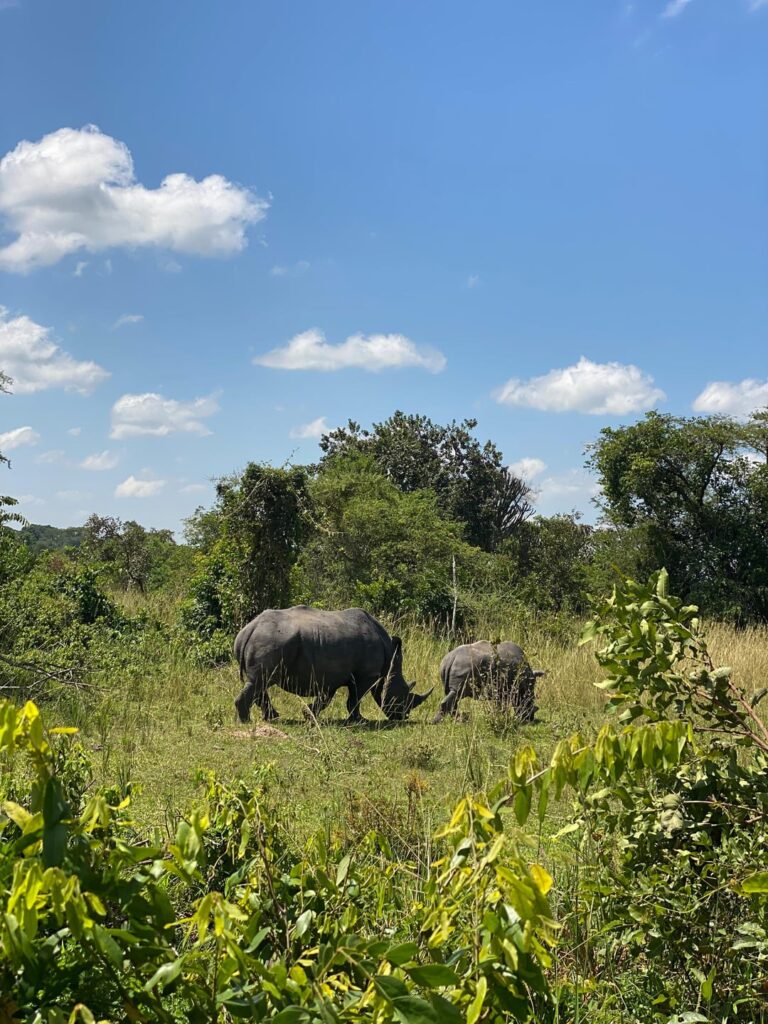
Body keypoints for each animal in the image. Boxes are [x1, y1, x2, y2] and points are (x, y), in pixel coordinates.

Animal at [234, 606, 432, 724]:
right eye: (403, 695)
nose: (403, 717)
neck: (389, 656)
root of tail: (249, 629)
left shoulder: (333, 674)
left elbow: (327, 697)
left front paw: (309, 714)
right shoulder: (367, 675)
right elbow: (354, 699)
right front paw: (360, 721)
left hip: (269, 640)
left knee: (260, 683)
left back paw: (272, 717)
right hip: (271, 640)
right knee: (260, 681)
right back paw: (246, 721)